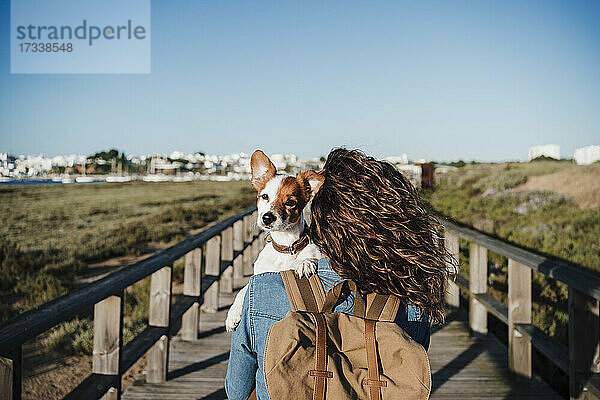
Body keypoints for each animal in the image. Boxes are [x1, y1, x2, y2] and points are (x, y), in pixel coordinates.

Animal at [225, 150, 324, 332]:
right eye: (264, 196)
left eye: (290, 202)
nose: (267, 217)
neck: (286, 246)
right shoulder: (258, 276)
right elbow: (243, 290)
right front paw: (232, 315)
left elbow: (309, 256)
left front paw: (305, 263)